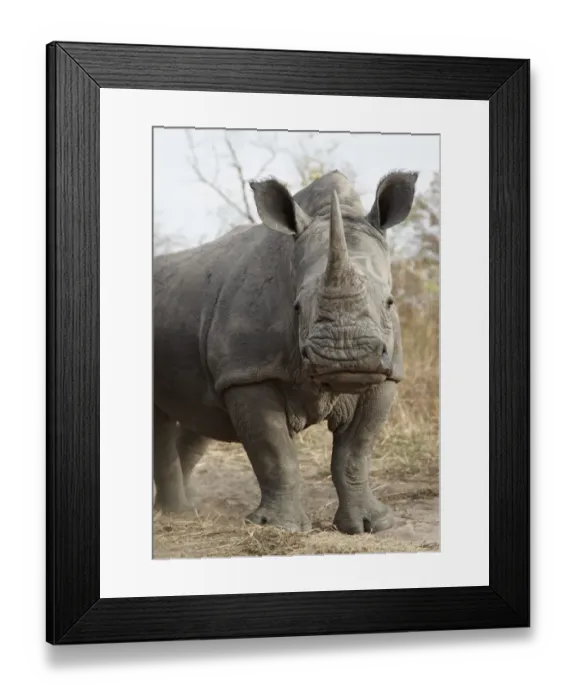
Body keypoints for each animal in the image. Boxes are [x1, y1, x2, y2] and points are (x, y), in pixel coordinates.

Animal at [153, 169, 418, 534]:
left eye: (390, 302)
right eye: (296, 307)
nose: (345, 355)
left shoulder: (387, 375)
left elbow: (356, 452)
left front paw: (372, 525)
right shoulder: (250, 372)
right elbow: (274, 452)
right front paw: (279, 528)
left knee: (200, 415)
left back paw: (186, 510)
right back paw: (177, 514)